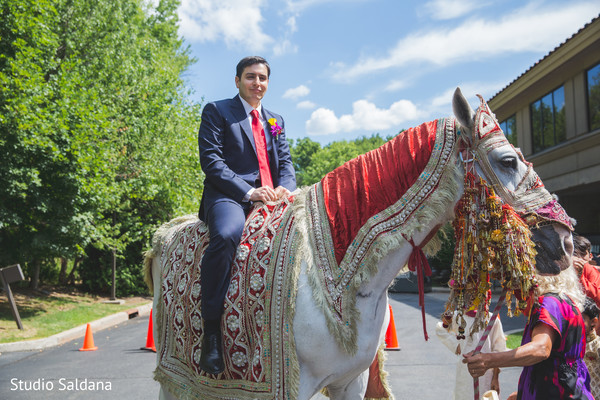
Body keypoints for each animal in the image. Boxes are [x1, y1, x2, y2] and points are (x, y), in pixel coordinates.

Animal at [144, 90, 572, 400]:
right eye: (507, 160)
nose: (566, 240)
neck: (336, 276)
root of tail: (165, 235)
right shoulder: (293, 387)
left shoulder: (350, 382)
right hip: (174, 375)